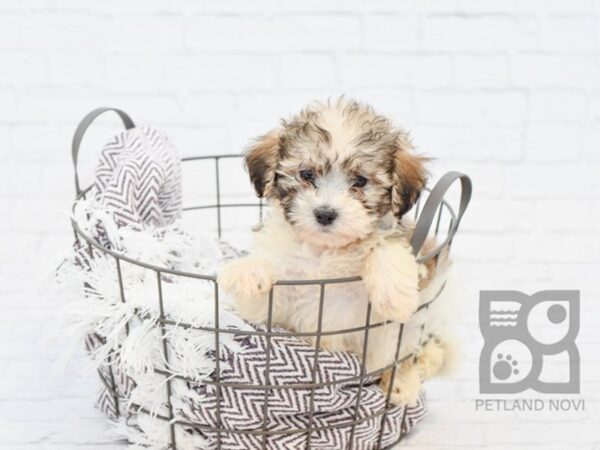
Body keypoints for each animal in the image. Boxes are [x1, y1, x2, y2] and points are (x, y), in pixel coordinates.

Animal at [218, 98, 458, 404]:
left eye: (360, 181)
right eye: (307, 174)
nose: (325, 213)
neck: (325, 251)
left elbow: (387, 247)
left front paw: (394, 293)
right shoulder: (277, 314)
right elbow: (265, 286)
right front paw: (248, 270)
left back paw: (403, 383)